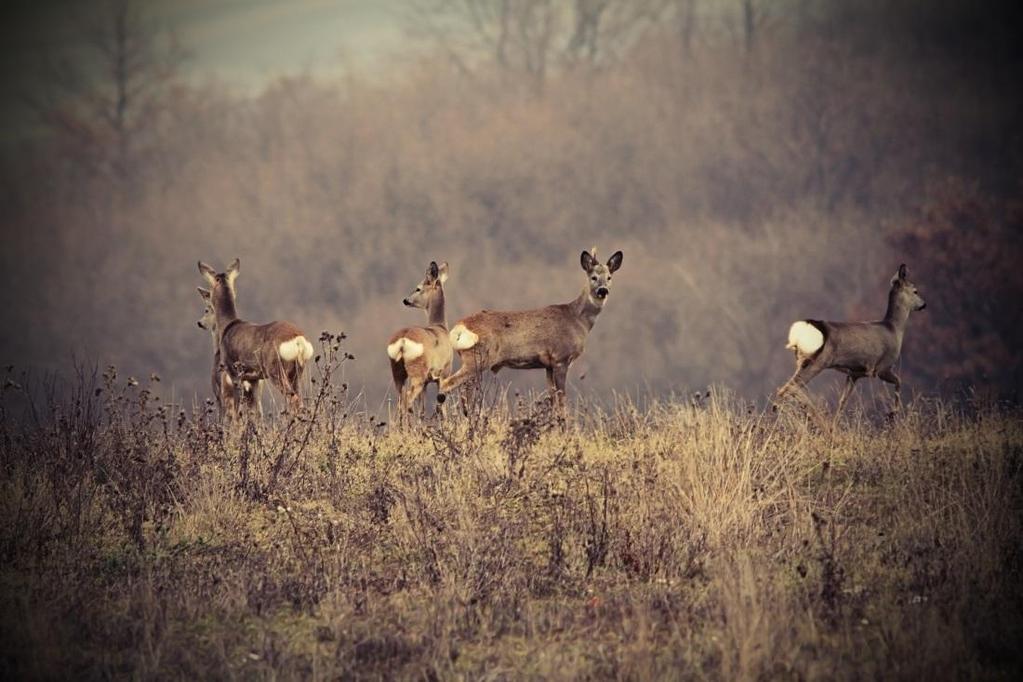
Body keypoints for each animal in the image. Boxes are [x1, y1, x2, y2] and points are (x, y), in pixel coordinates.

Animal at [386, 259, 452, 423]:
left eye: (418, 288)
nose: (405, 300)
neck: (440, 327)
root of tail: (403, 341)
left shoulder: (428, 381)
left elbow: (422, 410)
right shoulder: (445, 373)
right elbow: (442, 408)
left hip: (397, 370)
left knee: (400, 400)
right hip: (417, 372)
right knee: (408, 398)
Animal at [439, 248, 621, 413]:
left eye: (609, 277)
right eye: (593, 277)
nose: (603, 290)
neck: (577, 320)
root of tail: (459, 328)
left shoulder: (548, 365)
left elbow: (553, 400)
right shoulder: (561, 358)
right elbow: (562, 400)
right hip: (478, 358)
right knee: (447, 385)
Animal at [773, 265, 928, 417]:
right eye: (915, 291)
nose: (924, 305)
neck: (894, 329)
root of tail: (802, 330)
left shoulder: (853, 373)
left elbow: (842, 402)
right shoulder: (881, 367)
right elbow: (899, 381)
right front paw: (892, 413)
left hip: (802, 360)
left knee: (788, 391)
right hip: (815, 362)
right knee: (785, 390)